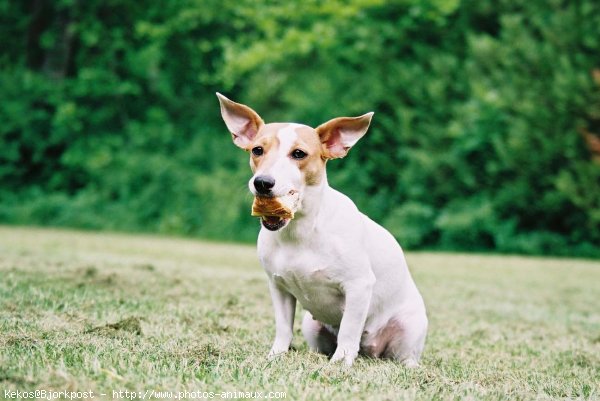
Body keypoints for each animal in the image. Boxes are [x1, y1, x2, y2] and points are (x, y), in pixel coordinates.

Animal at [216, 91, 426, 366]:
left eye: (299, 154)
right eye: (257, 150)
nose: (262, 182)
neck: (301, 230)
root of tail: (370, 351)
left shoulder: (359, 286)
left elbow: (349, 329)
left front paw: (340, 363)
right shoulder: (278, 287)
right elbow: (283, 328)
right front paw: (276, 355)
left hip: (409, 327)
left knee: (404, 355)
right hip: (311, 325)